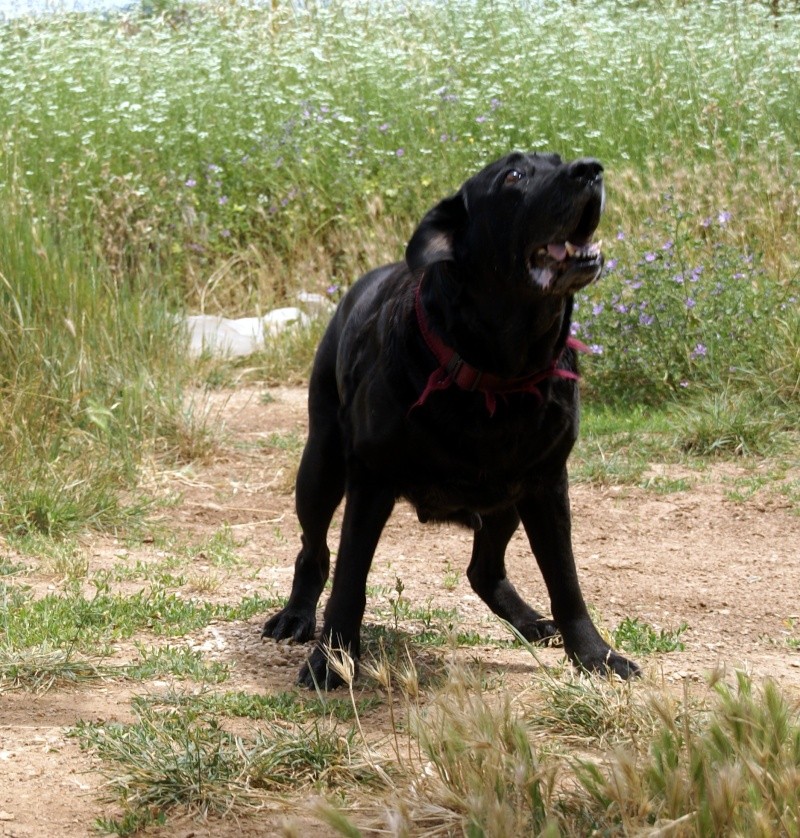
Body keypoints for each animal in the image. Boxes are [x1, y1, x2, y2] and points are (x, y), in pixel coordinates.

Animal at [266, 151, 640, 688]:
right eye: (513, 176)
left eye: (559, 159)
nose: (590, 169)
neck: (499, 373)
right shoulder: (371, 481)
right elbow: (349, 584)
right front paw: (330, 662)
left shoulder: (546, 483)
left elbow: (566, 582)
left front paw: (596, 656)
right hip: (320, 466)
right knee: (313, 551)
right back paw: (296, 616)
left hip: (505, 500)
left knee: (484, 569)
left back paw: (528, 620)